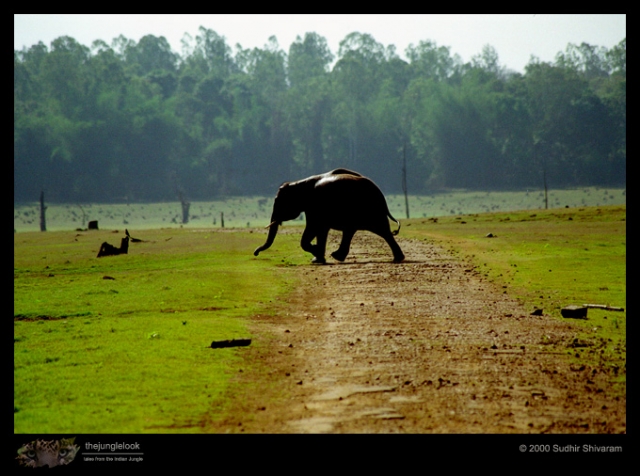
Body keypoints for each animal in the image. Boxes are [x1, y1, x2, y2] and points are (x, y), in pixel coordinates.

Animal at [251, 168, 404, 264]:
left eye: (279, 202)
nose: (255, 253)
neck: (299, 183)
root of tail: (380, 194)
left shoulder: (314, 206)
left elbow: (312, 229)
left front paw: (316, 252)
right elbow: (321, 231)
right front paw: (317, 259)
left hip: (369, 209)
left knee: (380, 230)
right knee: (363, 231)